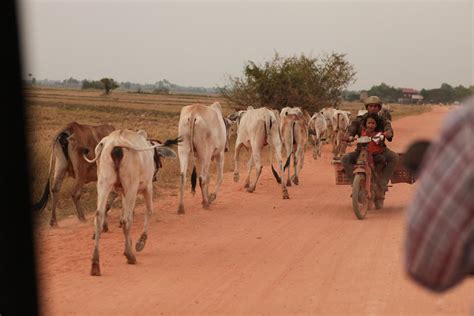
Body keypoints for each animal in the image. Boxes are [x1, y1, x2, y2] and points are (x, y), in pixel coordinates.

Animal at [84, 130, 178, 276]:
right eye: (158, 157)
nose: (157, 175)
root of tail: (116, 142)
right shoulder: (147, 187)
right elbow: (149, 211)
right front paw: (140, 242)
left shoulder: (123, 192)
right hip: (131, 185)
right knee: (127, 219)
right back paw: (130, 256)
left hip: (104, 183)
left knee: (99, 216)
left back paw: (95, 264)